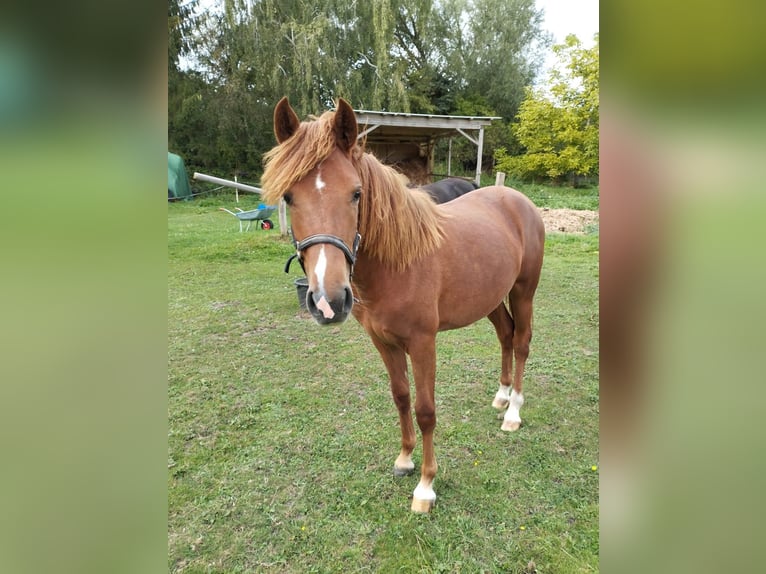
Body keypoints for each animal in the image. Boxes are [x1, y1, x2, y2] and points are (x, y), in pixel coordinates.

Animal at [264, 98, 544, 512]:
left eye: (356, 193)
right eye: (288, 196)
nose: (329, 301)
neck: (398, 262)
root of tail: (516, 200)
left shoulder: (423, 342)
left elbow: (426, 410)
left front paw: (426, 486)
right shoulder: (383, 341)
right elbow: (400, 397)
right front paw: (405, 459)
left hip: (523, 291)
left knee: (522, 341)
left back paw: (513, 412)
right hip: (492, 297)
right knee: (506, 336)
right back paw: (501, 396)